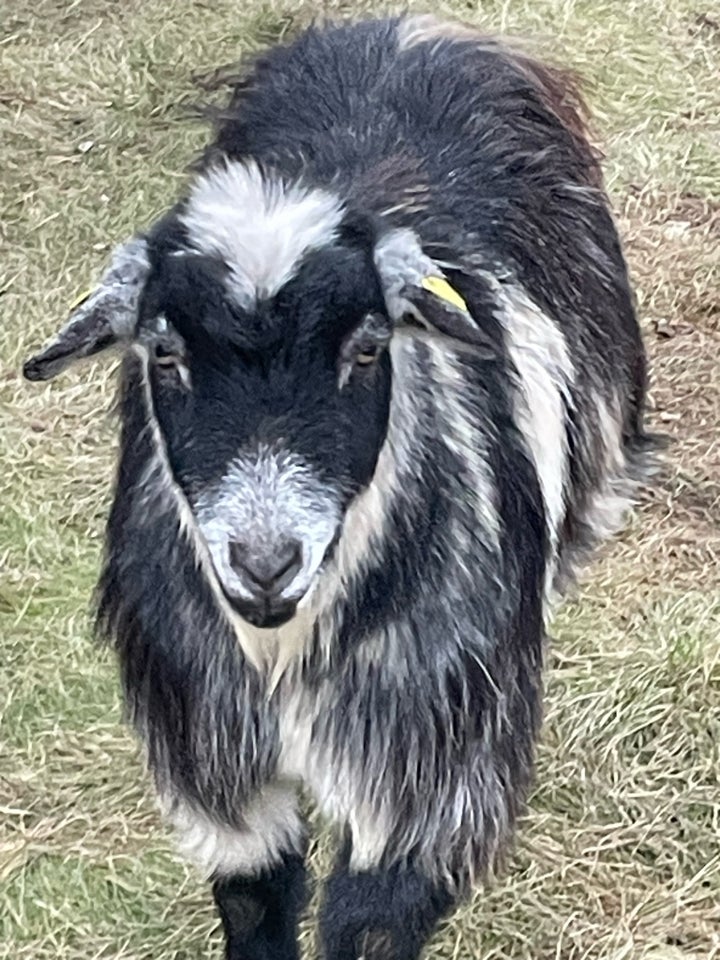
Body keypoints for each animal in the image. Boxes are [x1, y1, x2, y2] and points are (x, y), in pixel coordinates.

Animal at [23, 15, 660, 960]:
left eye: (367, 348)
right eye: (164, 352)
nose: (264, 563)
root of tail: (409, 27)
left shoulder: (429, 771)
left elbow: (367, 922)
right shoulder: (216, 762)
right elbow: (256, 904)